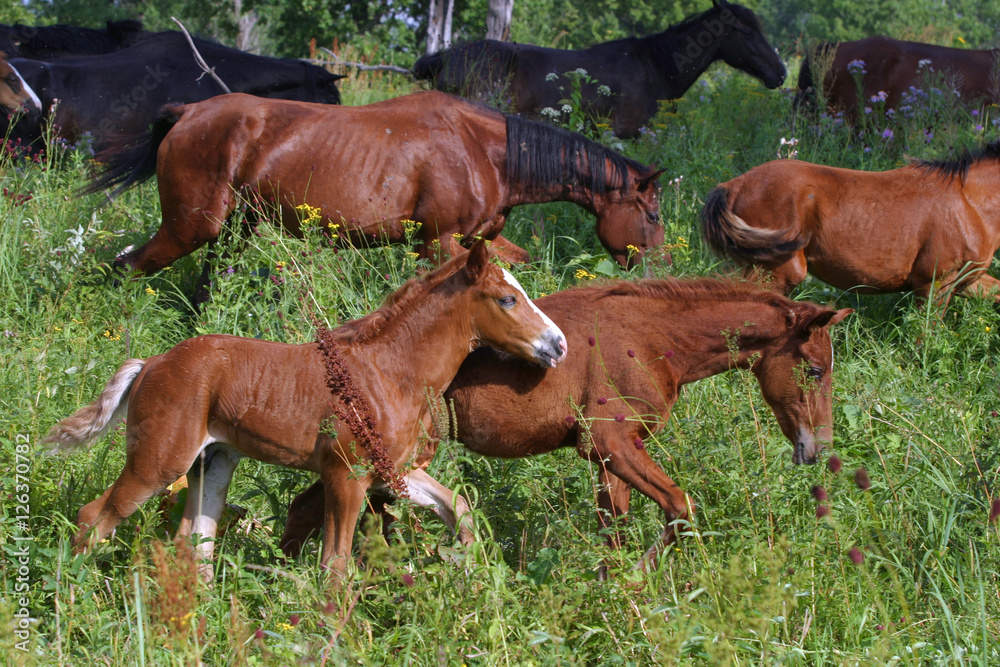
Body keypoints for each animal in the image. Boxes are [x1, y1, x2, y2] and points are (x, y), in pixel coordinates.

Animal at [42, 240, 568, 580]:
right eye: (507, 298)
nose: (558, 344)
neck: (390, 370)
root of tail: (151, 363)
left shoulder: (390, 473)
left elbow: (458, 506)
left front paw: (476, 578)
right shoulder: (346, 475)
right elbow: (335, 564)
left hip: (212, 462)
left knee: (194, 543)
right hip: (160, 460)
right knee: (94, 518)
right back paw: (73, 599)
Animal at [86, 91, 664, 278]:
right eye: (653, 215)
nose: (658, 270)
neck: (484, 151)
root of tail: (187, 112)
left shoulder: (482, 240)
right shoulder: (439, 243)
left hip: (233, 230)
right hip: (192, 227)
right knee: (126, 268)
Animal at [279, 277, 852, 574]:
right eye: (814, 370)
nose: (816, 449)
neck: (651, 339)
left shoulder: (611, 457)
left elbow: (614, 528)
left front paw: (611, 591)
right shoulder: (611, 443)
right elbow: (681, 508)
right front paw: (634, 584)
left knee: (308, 509)